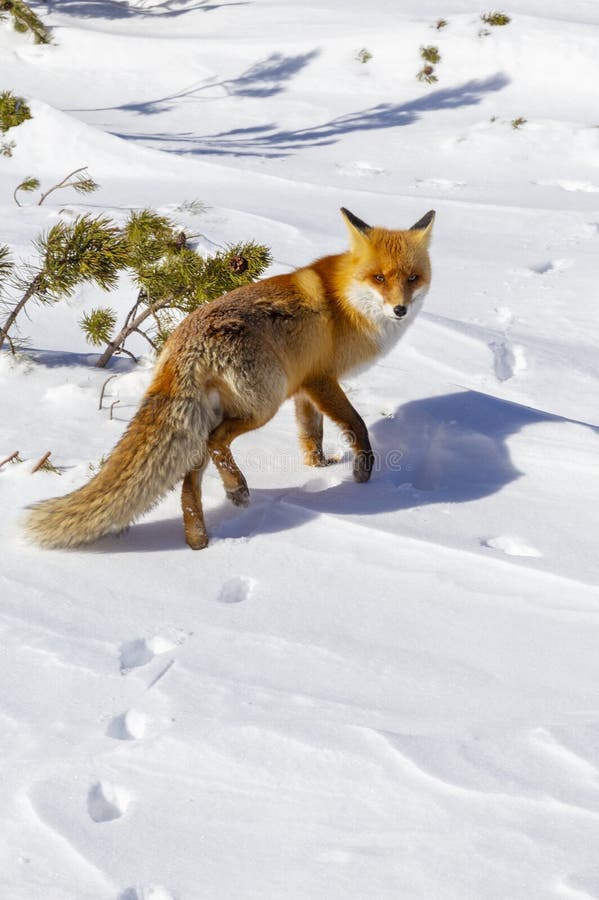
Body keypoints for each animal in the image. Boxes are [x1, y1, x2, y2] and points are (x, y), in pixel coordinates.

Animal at [24, 209, 436, 548]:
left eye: (412, 278)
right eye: (378, 277)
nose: (400, 309)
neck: (345, 303)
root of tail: (182, 341)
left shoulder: (304, 387)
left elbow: (311, 435)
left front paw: (319, 469)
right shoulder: (321, 379)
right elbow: (357, 424)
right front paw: (362, 472)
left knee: (191, 476)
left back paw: (198, 537)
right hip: (263, 403)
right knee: (216, 442)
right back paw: (236, 489)